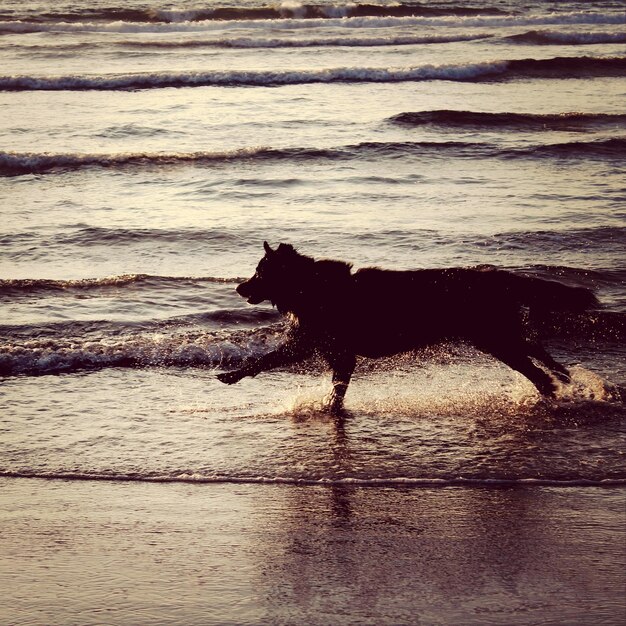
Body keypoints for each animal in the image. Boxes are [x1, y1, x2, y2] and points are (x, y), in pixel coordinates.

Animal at [217, 241, 596, 412]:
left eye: (260, 273)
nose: (239, 289)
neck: (309, 288)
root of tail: (498, 277)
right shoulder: (323, 348)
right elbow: (279, 364)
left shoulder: (331, 349)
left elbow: (269, 361)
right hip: (502, 335)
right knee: (543, 357)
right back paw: (570, 381)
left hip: (496, 339)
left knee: (538, 372)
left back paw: (552, 394)